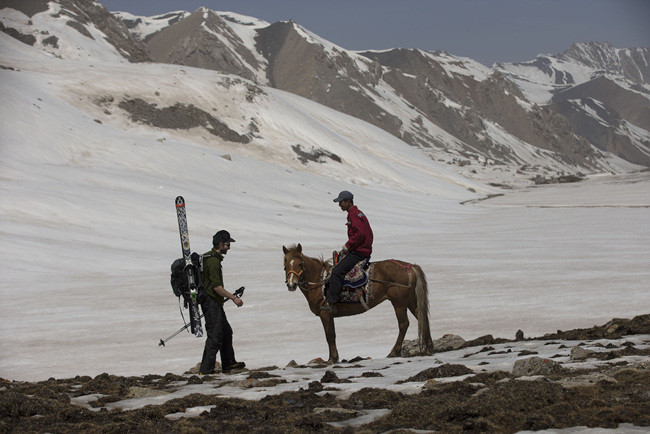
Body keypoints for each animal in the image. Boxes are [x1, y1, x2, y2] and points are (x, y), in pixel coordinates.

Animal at [282, 243, 434, 364]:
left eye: (300, 263)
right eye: (285, 264)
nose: (291, 284)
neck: (320, 281)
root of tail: (410, 267)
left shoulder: (325, 313)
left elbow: (329, 335)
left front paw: (332, 359)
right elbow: (332, 335)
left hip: (399, 303)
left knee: (404, 324)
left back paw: (394, 352)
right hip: (411, 301)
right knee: (423, 319)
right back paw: (429, 348)